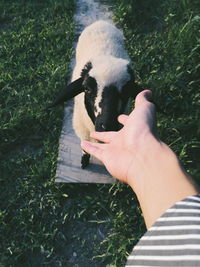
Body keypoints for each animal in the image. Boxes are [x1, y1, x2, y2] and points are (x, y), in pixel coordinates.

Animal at [47, 21, 141, 169]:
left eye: (127, 90)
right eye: (87, 88)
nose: (108, 126)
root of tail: (100, 22)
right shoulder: (84, 132)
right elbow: (85, 148)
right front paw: (84, 162)